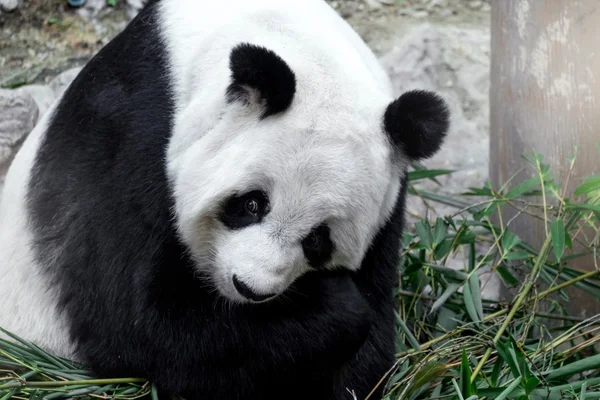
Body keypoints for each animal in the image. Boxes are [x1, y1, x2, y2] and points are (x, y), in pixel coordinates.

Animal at [0, 0, 450, 400]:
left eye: (319, 241)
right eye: (251, 204)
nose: (250, 288)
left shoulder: (390, 202)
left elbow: (371, 330)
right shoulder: (131, 137)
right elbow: (139, 325)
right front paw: (336, 305)